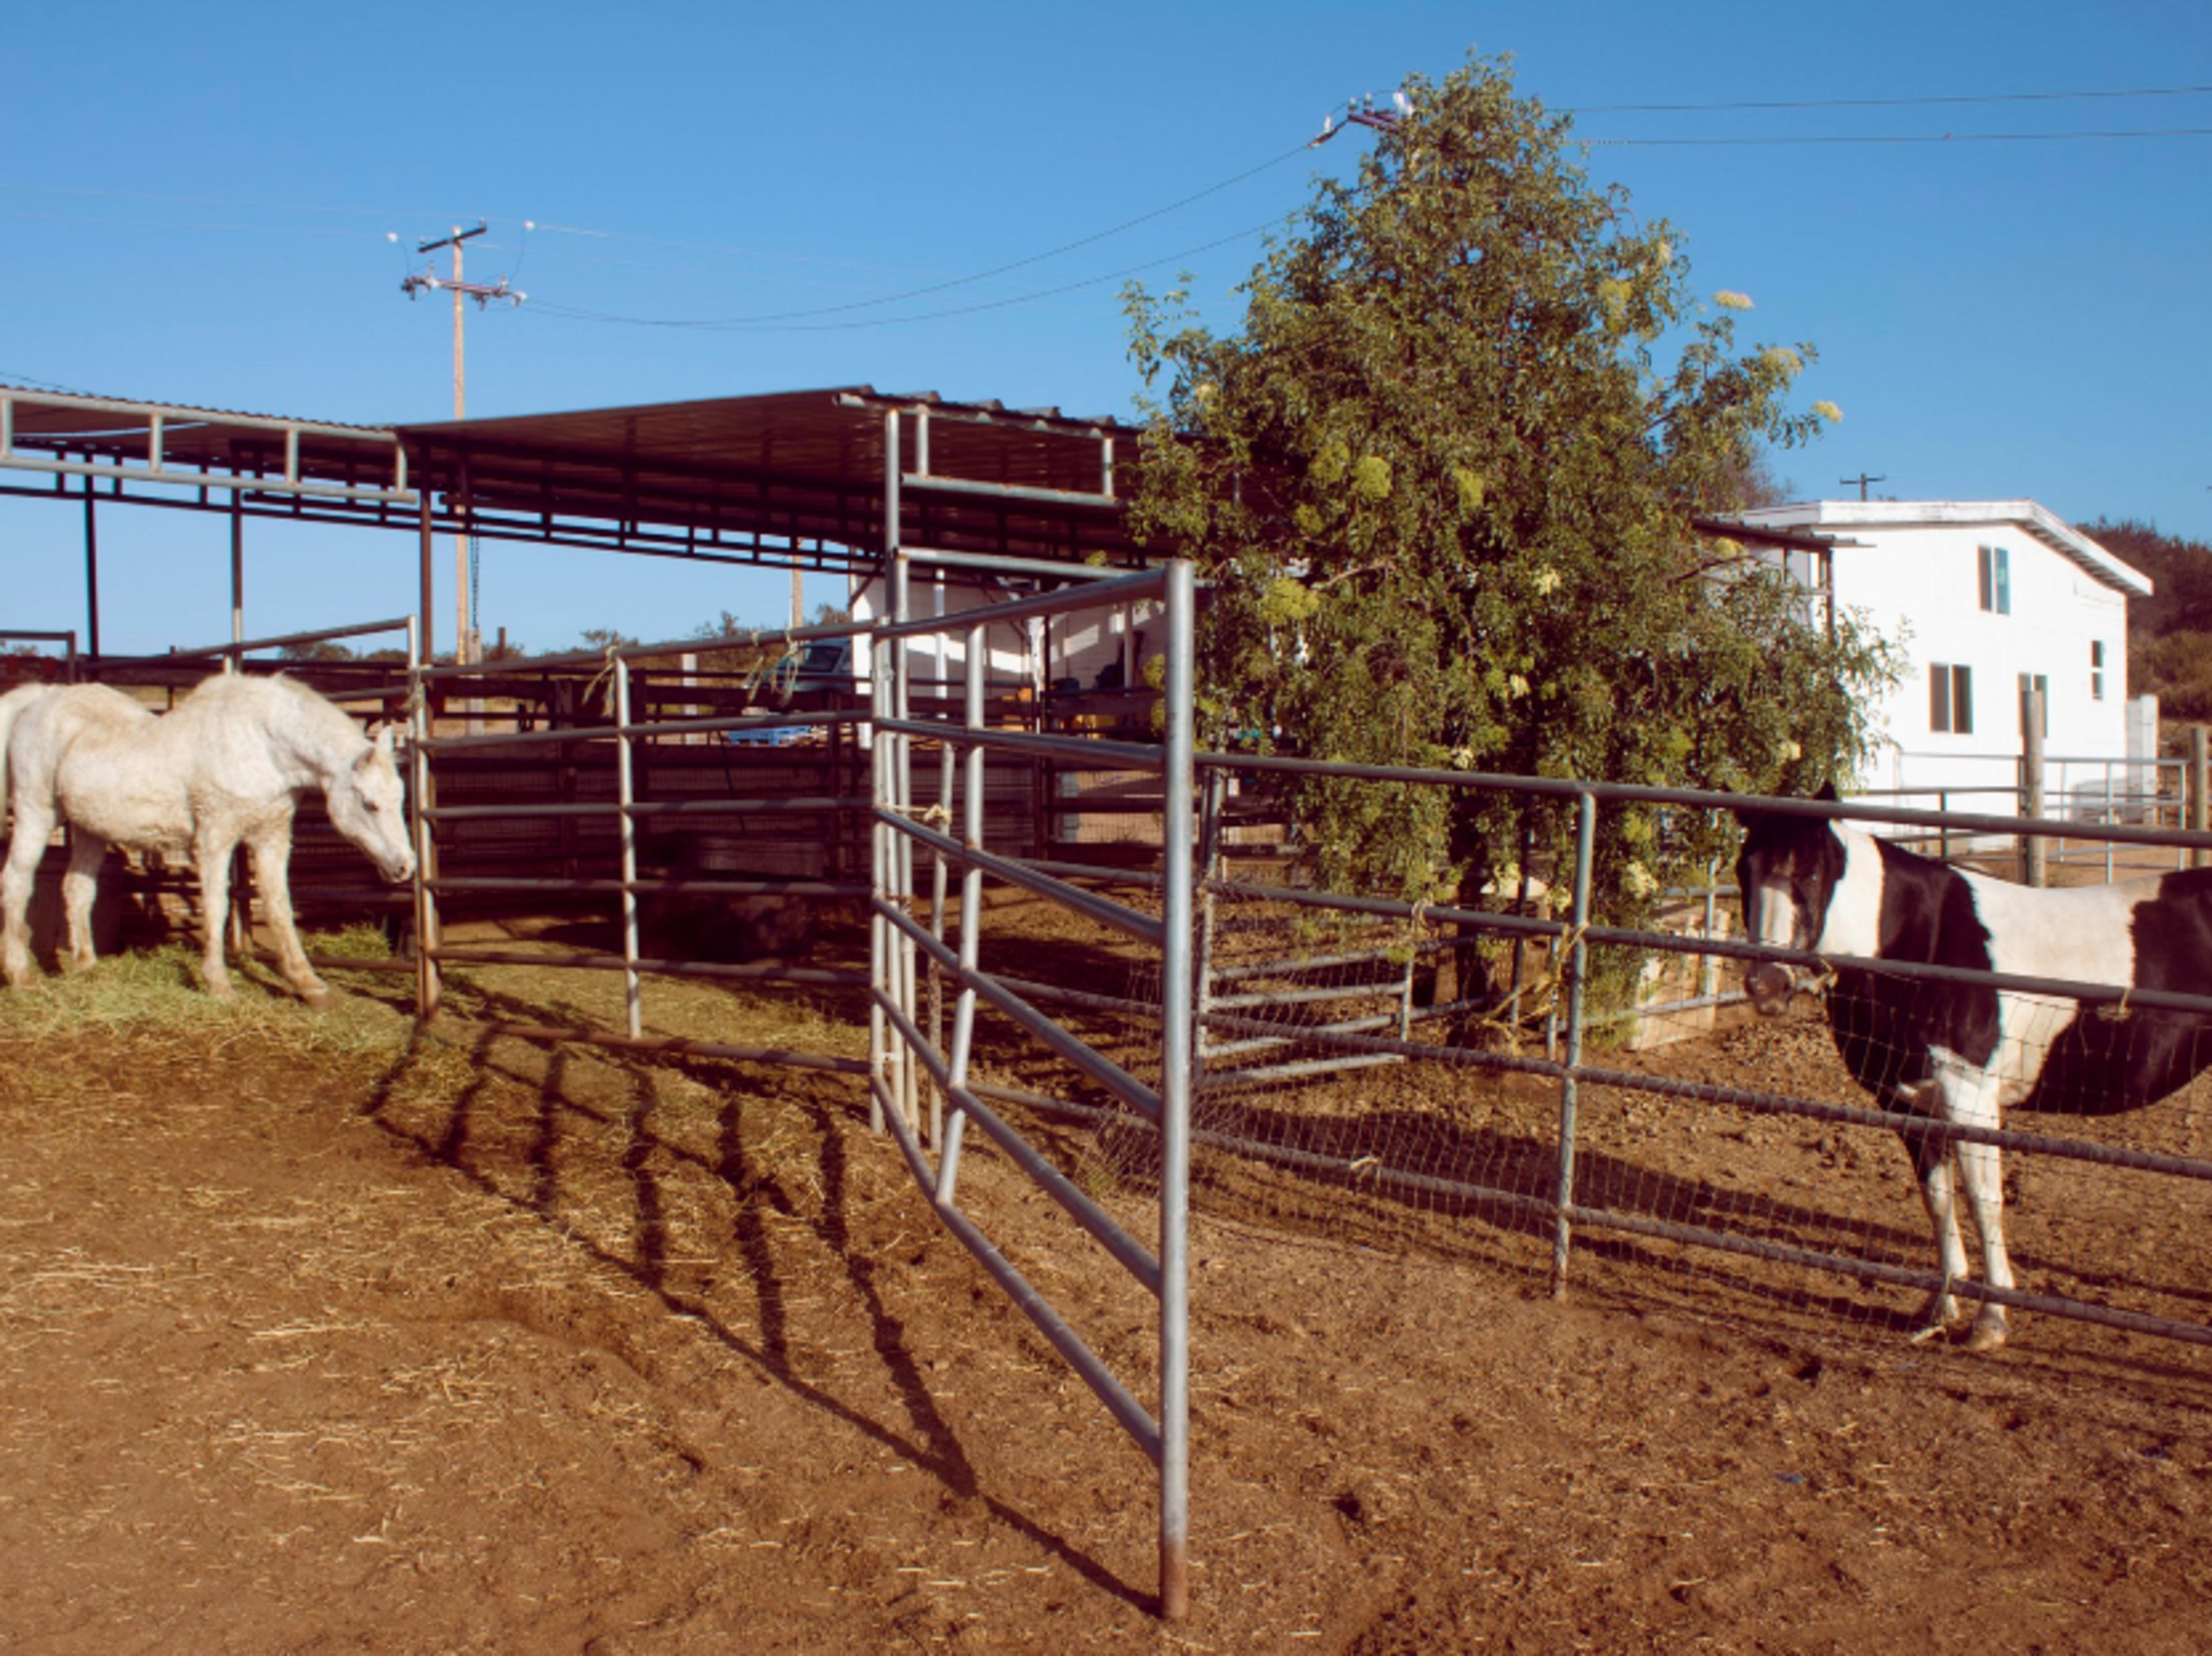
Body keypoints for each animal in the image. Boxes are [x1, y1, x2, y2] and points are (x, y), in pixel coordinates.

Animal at [0, 674, 416, 1006]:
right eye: (370, 804)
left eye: (400, 798)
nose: (405, 866)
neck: (263, 743)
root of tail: (39, 700)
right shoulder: (215, 838)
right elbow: (217, 906)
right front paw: (218, 984)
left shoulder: (271, 838)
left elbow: (280, 908)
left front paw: (308, 984)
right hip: (37, 813)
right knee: (17, 883)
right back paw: (20, 975)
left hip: (90, 830)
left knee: (77, 890)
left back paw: (87, 966)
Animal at [1733, 787, 2212, 1351]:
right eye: (1744, 869)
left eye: (1809, 873)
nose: (1767, 985)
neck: (1922, 943)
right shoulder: (1907, 1101)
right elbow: (1938, 1199)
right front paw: (1940, 1308)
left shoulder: (1970, 1099)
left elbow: (1985, 1203)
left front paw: (1991, 1319)